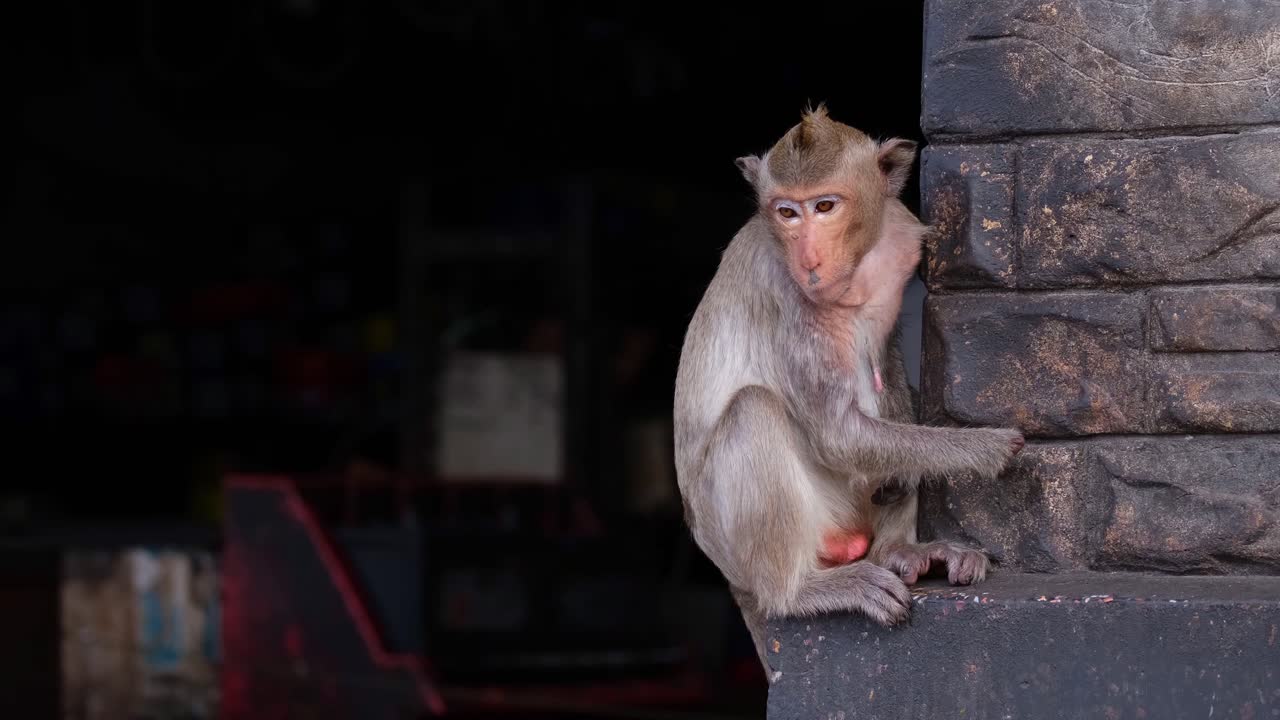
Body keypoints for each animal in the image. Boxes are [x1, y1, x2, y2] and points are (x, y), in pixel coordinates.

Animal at [671, 104, 1024, 676]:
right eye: (786, 213)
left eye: (825, 206)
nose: (809, 259)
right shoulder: (785, 291)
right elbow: (838, 433)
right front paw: (985, 449)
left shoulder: (900, 240)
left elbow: (888, 363)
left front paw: (910, 481)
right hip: (758, 539)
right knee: (754, 409)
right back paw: (798, 592)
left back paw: (900, 551)